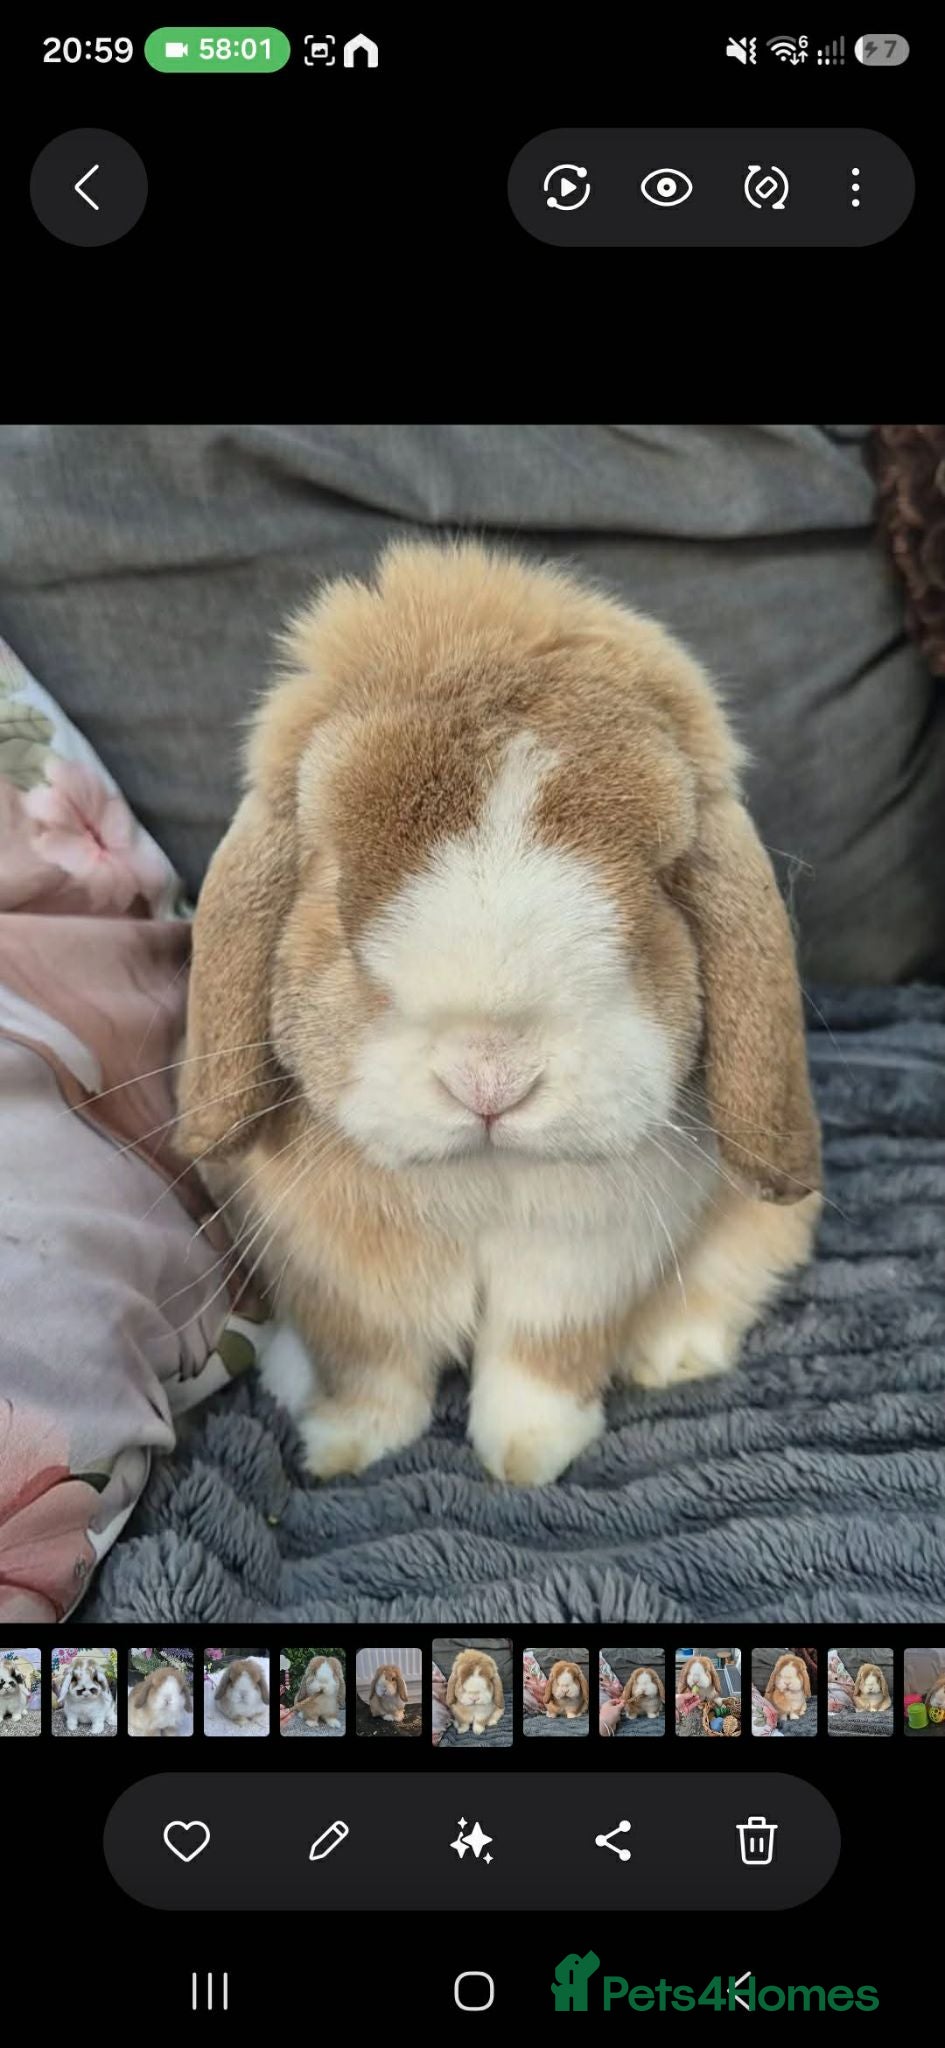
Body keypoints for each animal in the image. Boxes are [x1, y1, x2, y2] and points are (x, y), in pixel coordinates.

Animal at [176, 540, 821, 1489]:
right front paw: (345, 1449)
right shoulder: (342, 1279)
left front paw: (527, 1458)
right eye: (332, 883)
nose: (490, 1079)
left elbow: (539, 1362)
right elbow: (369, 1365)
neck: (482, 1178)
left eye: (658, 886)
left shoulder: (579, 1271)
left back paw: (671, 1355)